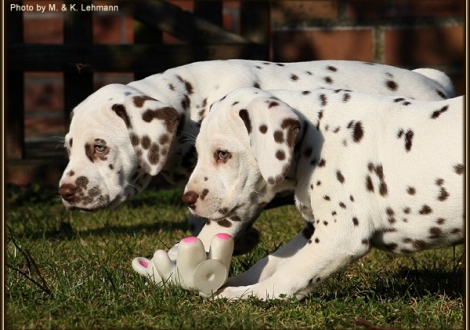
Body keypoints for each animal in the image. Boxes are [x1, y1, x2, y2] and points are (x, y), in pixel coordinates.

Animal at [56, 59, 456, 255]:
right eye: (68, 148)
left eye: (99, 147)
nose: (65, 192)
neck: (191, 101)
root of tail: (435, 82)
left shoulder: (244, 188)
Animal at [183, 86, 462, 300]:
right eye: (197, 152)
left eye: (223, 154)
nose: (187, 199)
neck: (315, 135)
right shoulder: (313, 229)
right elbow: (269, 262)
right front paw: (234, 282)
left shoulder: (339, 235)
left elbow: (289, 275)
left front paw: (244, 294)